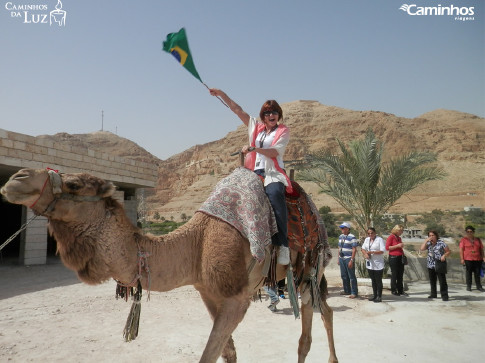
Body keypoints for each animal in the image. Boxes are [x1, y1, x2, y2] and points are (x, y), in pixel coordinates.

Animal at [1, 168, 338, 363]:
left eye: (73, 183)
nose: (16, 178)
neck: (196, 244)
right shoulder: (207, 292)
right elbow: (228, 351)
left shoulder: (237, 297)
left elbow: (208, 355)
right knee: (325, 311)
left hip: (312, 264)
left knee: (310, 323)